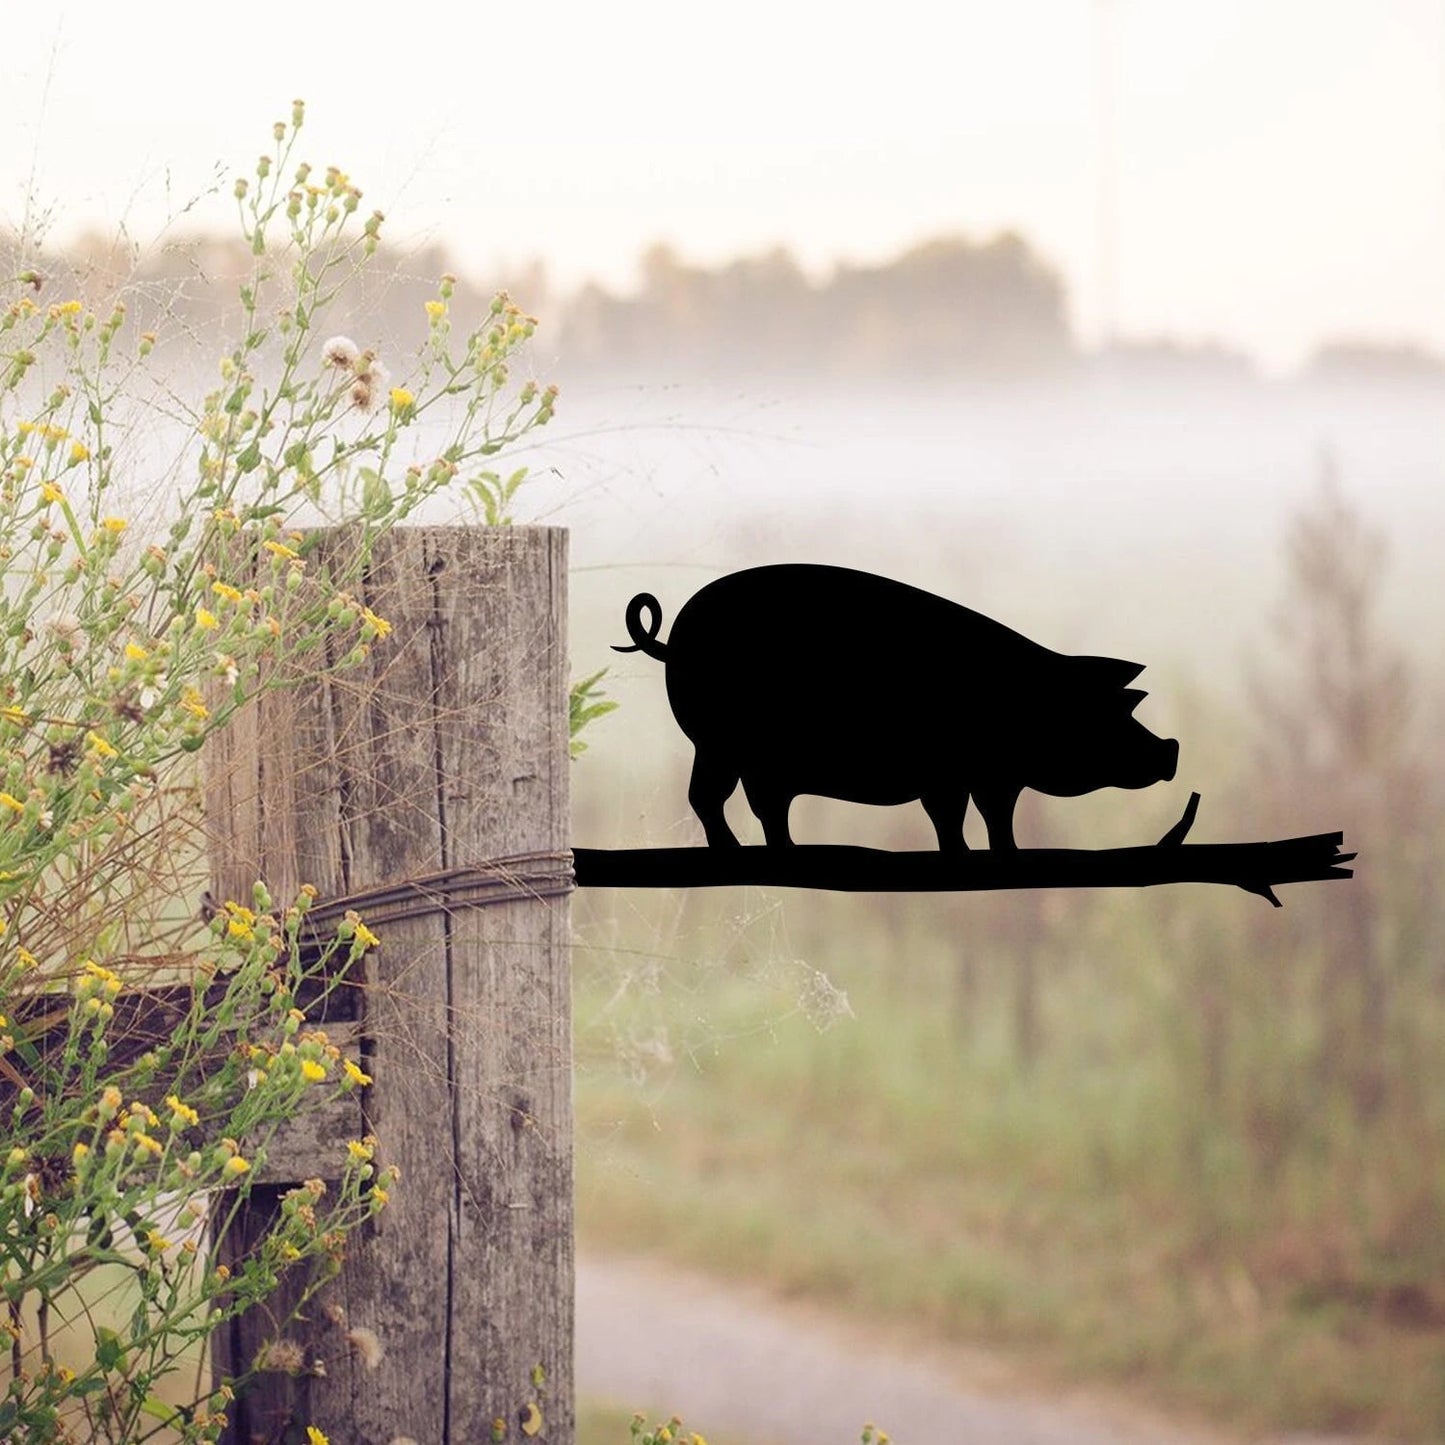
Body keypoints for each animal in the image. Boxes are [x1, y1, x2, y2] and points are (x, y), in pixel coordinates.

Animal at [614, 563, 1179, 850]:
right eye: (1121, 713)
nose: (1171, 748)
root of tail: (672, 641)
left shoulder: (972, 777)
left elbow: (972, 818)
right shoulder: (968, 773)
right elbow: (971, 816)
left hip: (719, 750)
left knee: (719, 799)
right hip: (728, 747)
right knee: (733, 801)